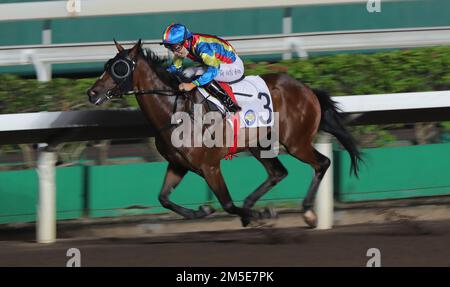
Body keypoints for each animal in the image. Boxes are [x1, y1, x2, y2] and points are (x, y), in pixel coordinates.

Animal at [87, 40, 362, 228]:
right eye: (107, 65)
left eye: (120, 68)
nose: (92, 93)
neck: (175, 111)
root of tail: (308, 90)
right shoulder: (178, 165)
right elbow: (163, 198)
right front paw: (203, 212)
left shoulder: (210, 166)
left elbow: (228, 204)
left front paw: (258, 216)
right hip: (260, 145)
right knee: (278, 172)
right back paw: (253, 204)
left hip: (296, 142)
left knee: (322, 163)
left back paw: (307, 211)